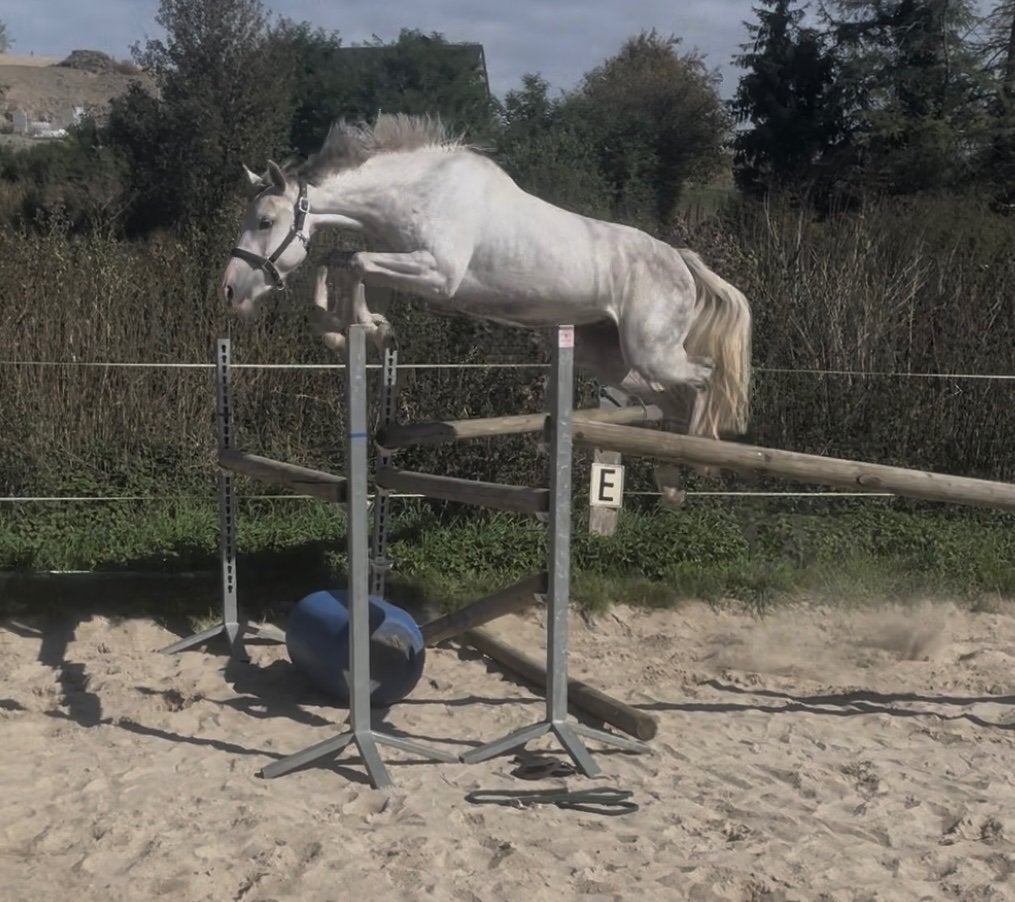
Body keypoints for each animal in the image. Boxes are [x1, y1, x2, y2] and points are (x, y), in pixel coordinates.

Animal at [220, 114, 752, 505]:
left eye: (265, 221)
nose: (230, 291)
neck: (414, 191)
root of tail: (680, 260)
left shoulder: (438, 275)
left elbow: (356, 262)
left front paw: (369, 327)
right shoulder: (402, 263)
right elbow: (337, 262)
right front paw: (341, 329)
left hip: (653, 353)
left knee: (704, 379)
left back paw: (703, 461)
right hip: (612, 360)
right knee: (669, 403)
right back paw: (672, 479)